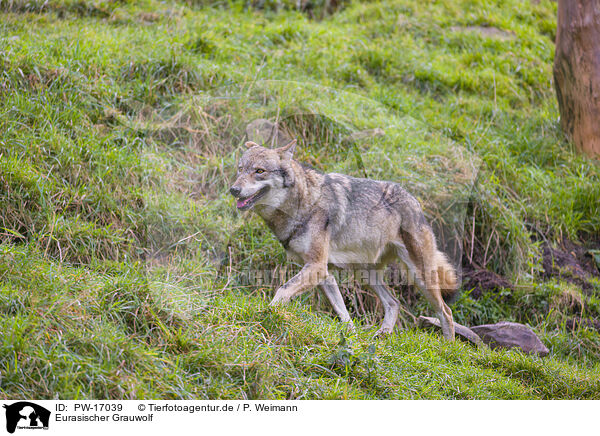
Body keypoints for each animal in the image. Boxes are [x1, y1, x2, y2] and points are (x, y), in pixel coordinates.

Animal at [230, 141, 460, 340]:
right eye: (240, 169)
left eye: (259, 171)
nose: (233, 189)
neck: (303, 203)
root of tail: (416, 202)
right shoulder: (324, 274)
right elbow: (344, 315)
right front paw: (353, 337)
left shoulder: (316, 267)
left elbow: (282, 290)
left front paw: (267, 315)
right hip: (366, 275)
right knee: (394, 303)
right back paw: (382, 335)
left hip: (420, 277)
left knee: (446, 312)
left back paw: (447, 349)